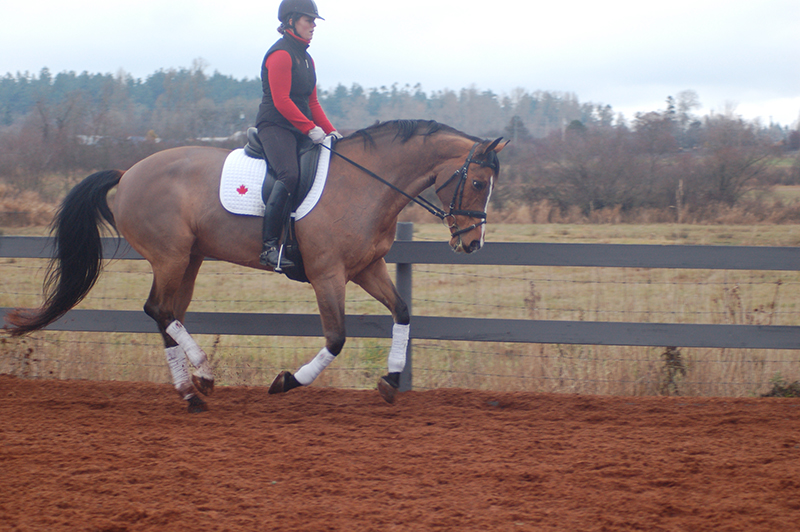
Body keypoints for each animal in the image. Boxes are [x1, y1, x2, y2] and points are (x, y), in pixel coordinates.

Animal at [5, 119, 505, 412]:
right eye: (479, 183)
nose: (472, 244)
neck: (365, 183)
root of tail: (128, 174)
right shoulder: (328, 275)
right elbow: (337, 338)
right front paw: (287, 381)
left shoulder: (367, 268)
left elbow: (402, 312)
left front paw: (391, 379)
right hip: (170, 257)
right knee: (160, 311)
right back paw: (201, 378)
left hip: (189, 260)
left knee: (166, 315)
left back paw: (192, 390)